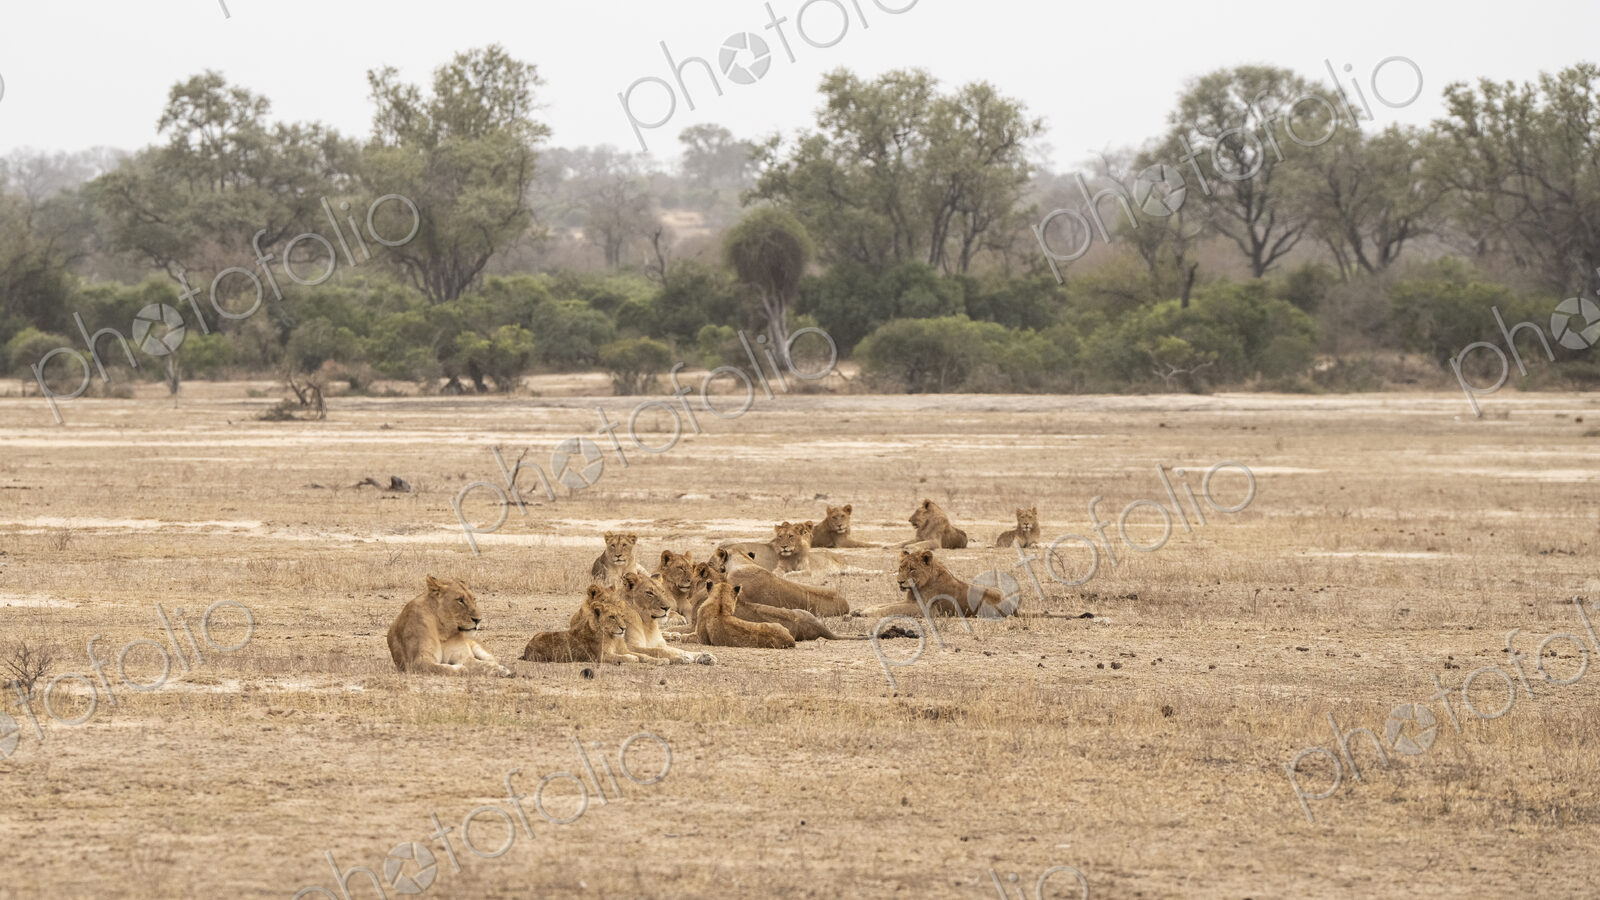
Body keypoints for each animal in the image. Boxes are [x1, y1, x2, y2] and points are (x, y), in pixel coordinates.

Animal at [571, 572, 714, 664]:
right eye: (649, 593)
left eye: (662, 591)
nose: (667, 608)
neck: (648, 623)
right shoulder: (630, 646)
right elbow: (658, 651)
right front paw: (682, 658)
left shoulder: (658, 642)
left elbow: (678, 649)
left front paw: (704, 656)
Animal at [857, 549, 1015, 620]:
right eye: (901, 568)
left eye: (912, 569)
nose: (900, 582)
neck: (918, 586)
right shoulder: (909, 601)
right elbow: (886, 605)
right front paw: (862, 609)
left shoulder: (926, 610)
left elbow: (892, 609)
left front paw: (868, 613)